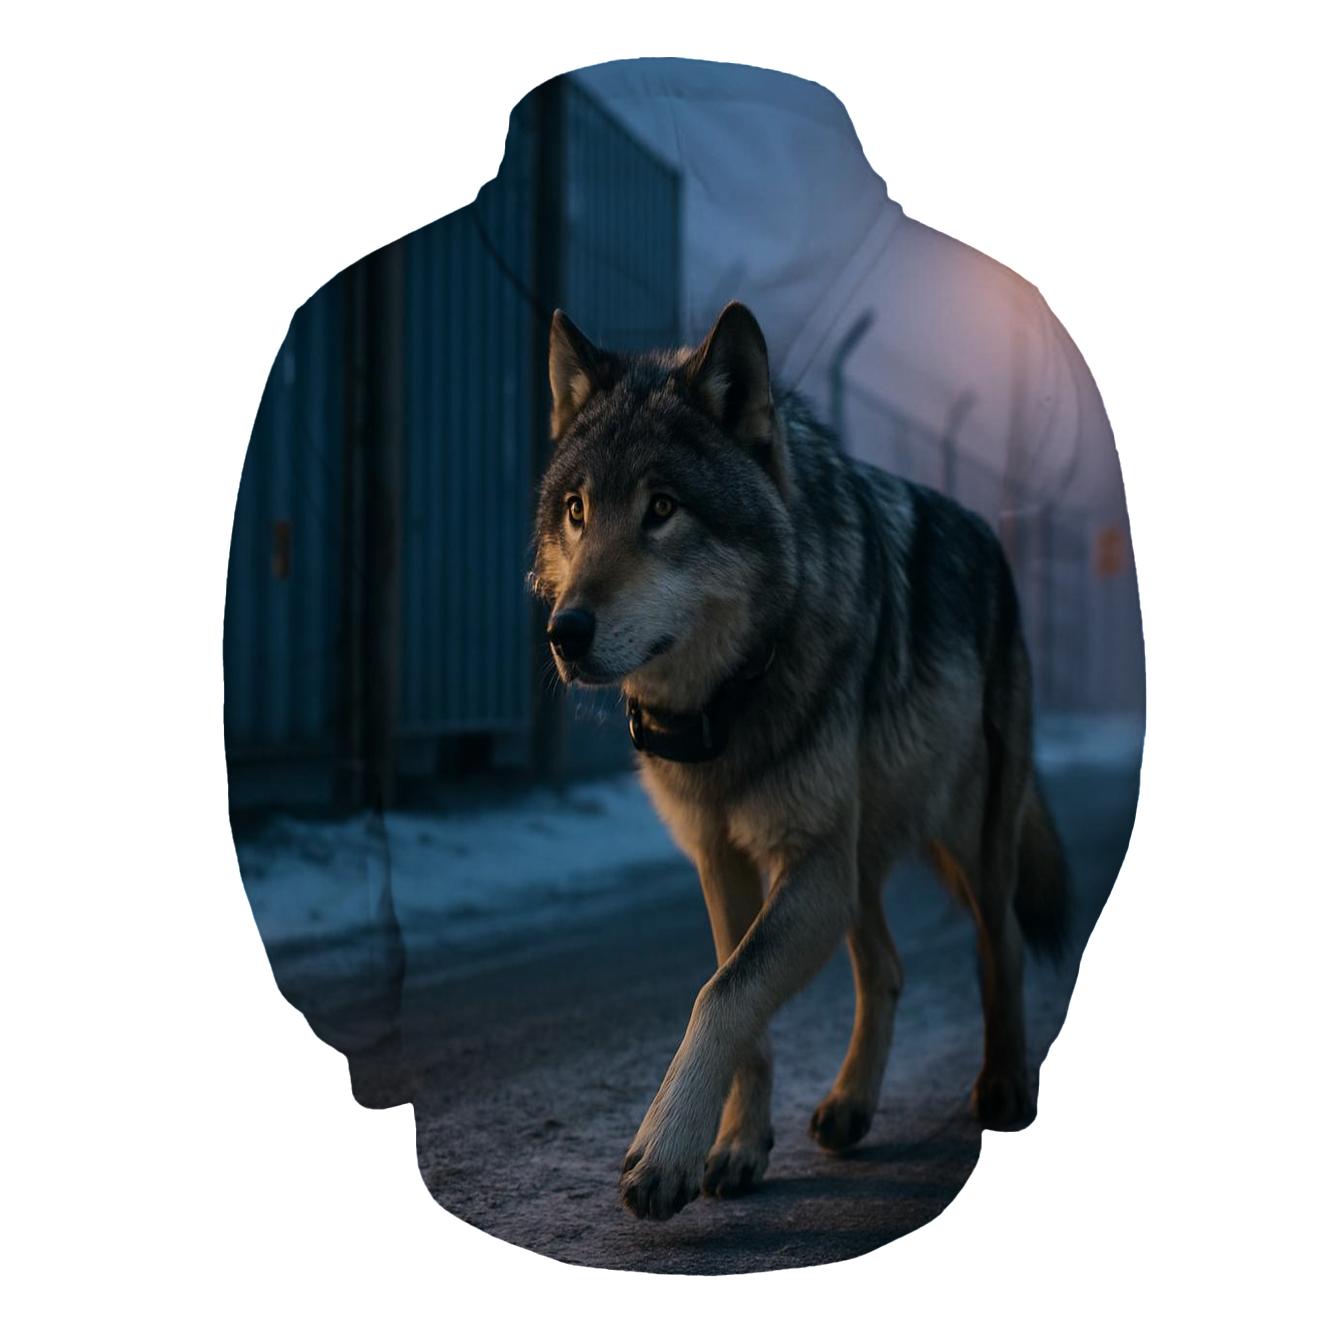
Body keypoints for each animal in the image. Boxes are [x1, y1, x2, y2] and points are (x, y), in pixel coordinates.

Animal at [531, 301, 1070, 1221]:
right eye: (576, 508)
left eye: (662, 507)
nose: (564, 632)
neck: (727, 700)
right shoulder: (726, 860)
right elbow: (738, 997)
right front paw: (736, 1145)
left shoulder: (809, 863)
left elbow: (721, 993)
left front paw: (662, 1151)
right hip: (858, 860)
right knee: (886, 966)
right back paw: (851, 1103)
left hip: (966, 838)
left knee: (995, 940)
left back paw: (1003, 1083)